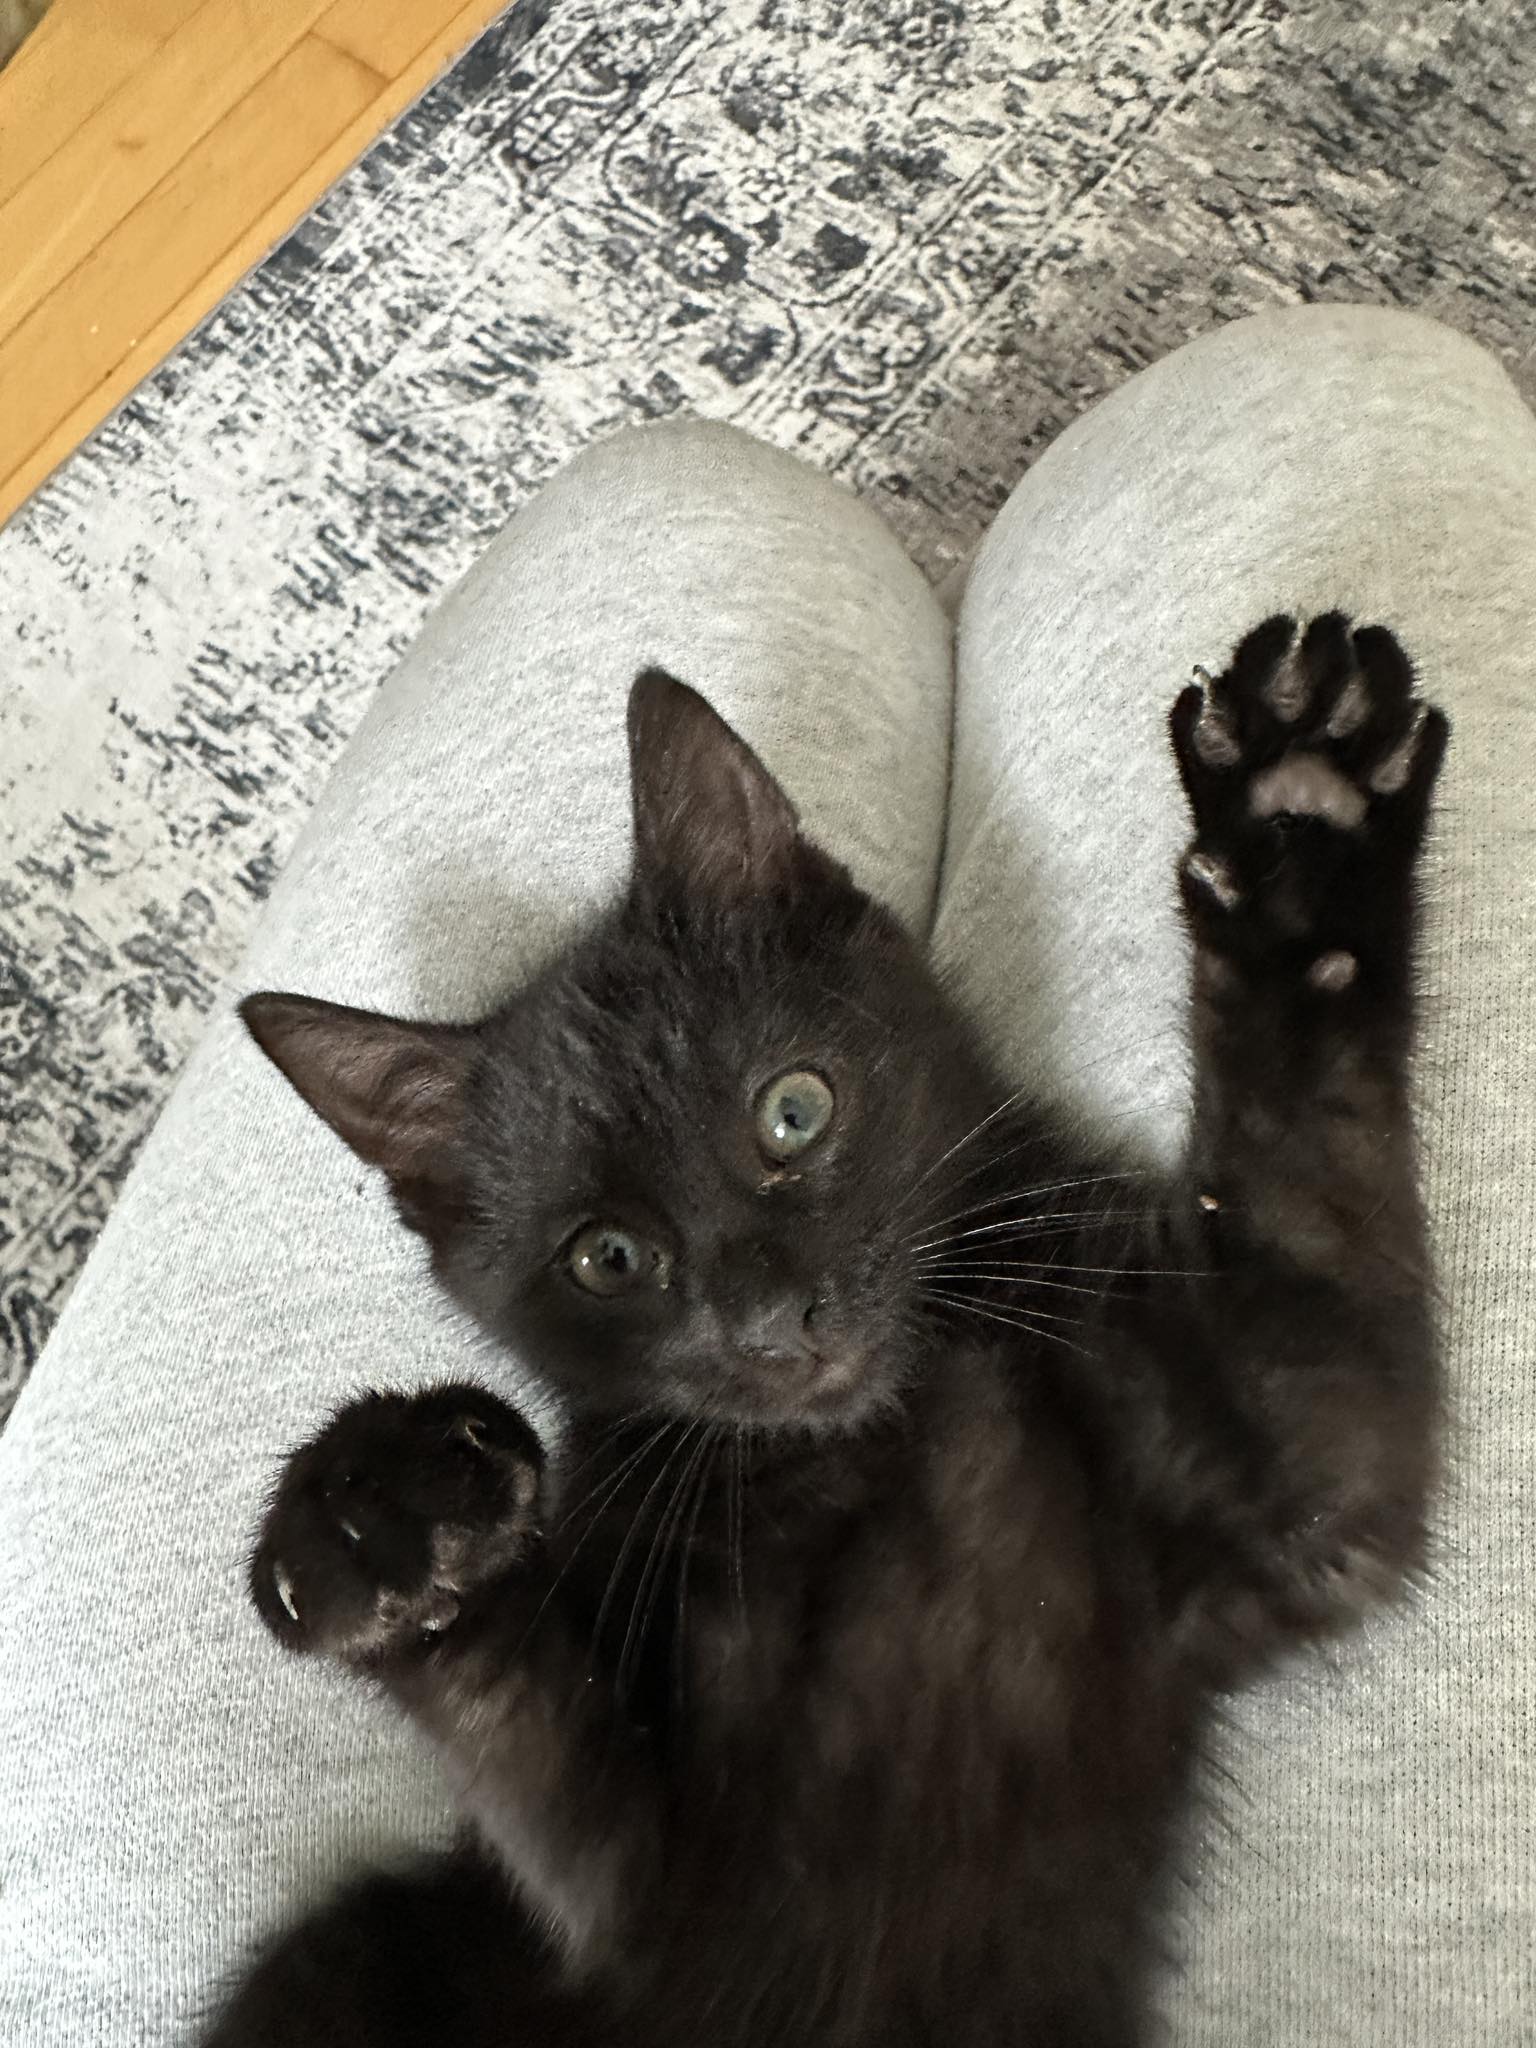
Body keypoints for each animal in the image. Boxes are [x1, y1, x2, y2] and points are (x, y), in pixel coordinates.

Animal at [202, 613, 1447, 2047]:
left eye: (793, 1111)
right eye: (608, 1257)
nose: (769, 1323)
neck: (871, 1450)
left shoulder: (1303, 1471)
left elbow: (1315, 1244)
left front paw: (1306, 827)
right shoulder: (643, 1889)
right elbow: (525, 1730)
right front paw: (376, 1522)